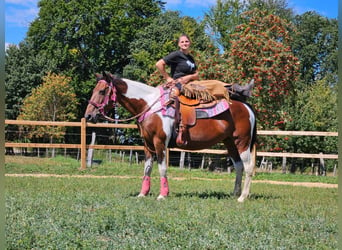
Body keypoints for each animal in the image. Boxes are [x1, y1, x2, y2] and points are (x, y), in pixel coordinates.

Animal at [85, 73, 256, 203]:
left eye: (102, 91)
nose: (88, 115)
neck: (150, 106)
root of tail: (247, 107)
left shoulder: (159, 142)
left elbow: (162, 168)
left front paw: (163, 195)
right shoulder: (147, 144)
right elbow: (147, 168)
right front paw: (143, 193)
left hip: (242, 142)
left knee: (248, 167)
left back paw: (242, 197)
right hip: (230, 143)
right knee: (239, 166)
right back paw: (235, 193)